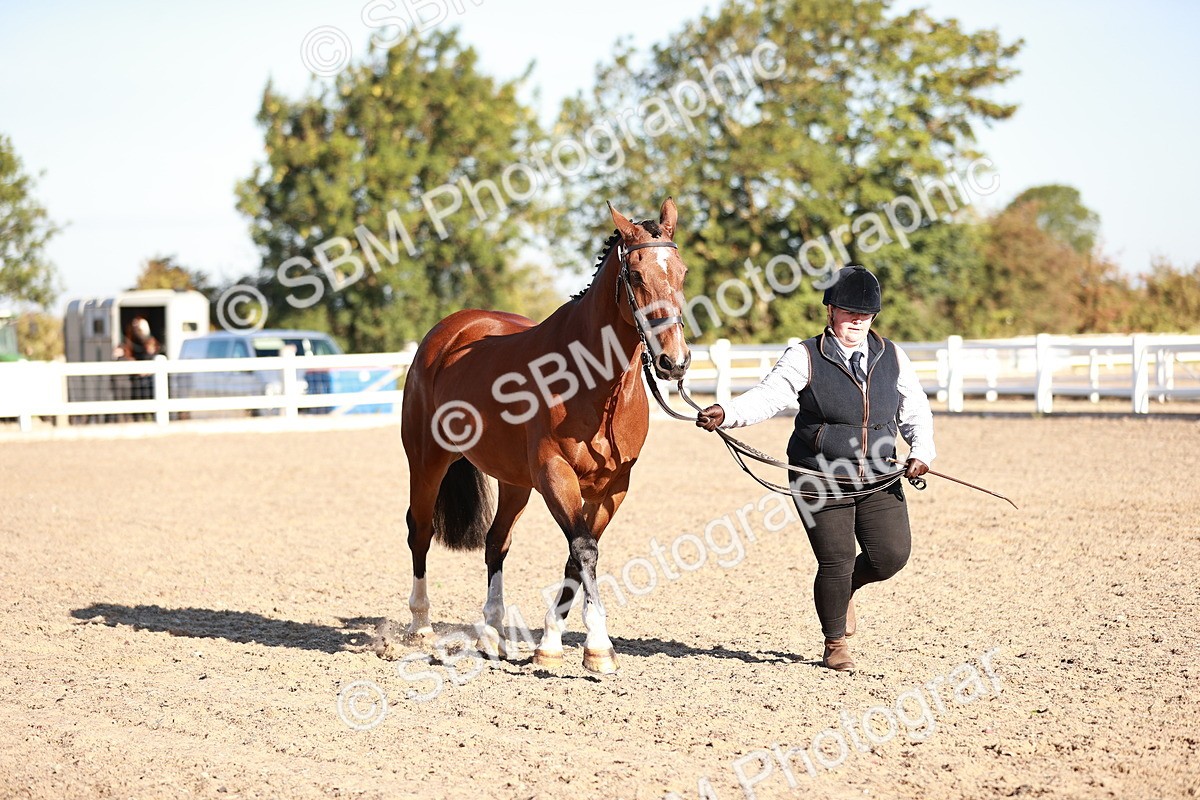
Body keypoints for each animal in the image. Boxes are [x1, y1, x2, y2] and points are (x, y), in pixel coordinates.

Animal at [399, 198, 691, 674]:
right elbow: (585, 550)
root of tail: (446, 333)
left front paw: (551, 644)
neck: (593, 381)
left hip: (513, 481)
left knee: (496, 543)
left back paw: (493, 636)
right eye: (636, 275)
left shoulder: (613, 486)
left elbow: (578, 554)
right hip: (427, 462)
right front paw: (599, 647)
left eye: (681, 271)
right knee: (420, 531)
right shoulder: (555, 473)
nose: (674, 361)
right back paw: (421, 627)